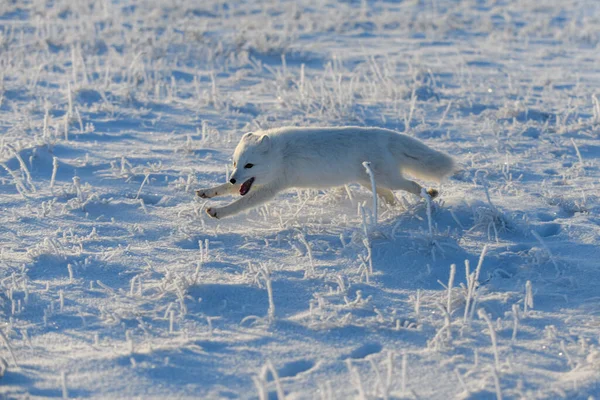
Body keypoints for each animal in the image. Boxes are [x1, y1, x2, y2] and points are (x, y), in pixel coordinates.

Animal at [197, 126, 454, 219]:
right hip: (368, 180)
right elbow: (225, 189)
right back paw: (393, 209)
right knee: (389, 195)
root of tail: (384, 135)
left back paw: (430, 194)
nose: (233, 177)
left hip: (388, 178)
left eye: (249, 165)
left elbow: (240, 203)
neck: (281, 155)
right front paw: (207, 192)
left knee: (411, 185)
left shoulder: (271, 187)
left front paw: (218, 212)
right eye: (234, 163)